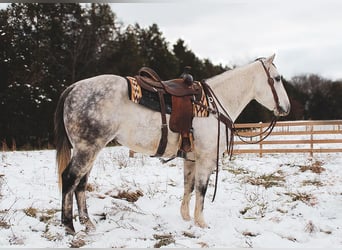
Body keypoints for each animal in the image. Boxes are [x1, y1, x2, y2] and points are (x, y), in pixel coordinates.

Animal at [54, 53, 290, 234]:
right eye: (277, 78)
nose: (286, 108)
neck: (213, 104)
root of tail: (74, 87)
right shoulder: (206, 158)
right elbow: (202, 189)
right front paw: (201, 222)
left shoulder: (191, 158)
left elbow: (188, 186)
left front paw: (186, 217)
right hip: (87, 148)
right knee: (70, 179)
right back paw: (69, 227)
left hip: (91, 149)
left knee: (81, 184)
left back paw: (88, 224)